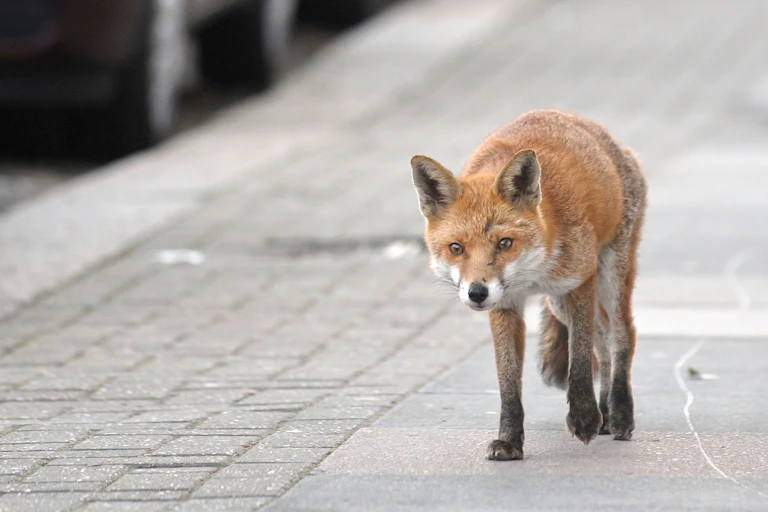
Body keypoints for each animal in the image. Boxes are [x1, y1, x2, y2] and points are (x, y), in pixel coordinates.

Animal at [410, 110, 647, 460]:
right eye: (456, 248)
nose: (477, 293)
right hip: (560, 305)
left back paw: (618, 413)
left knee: (621, 336)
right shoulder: (505, 306)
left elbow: (578, 361)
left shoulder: (581, 281)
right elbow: (508, 383)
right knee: (603, 345)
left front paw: (583, 417)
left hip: (609, 275)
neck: (533, 273)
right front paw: (509, 441)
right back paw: (605, 411)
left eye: (504, 243)